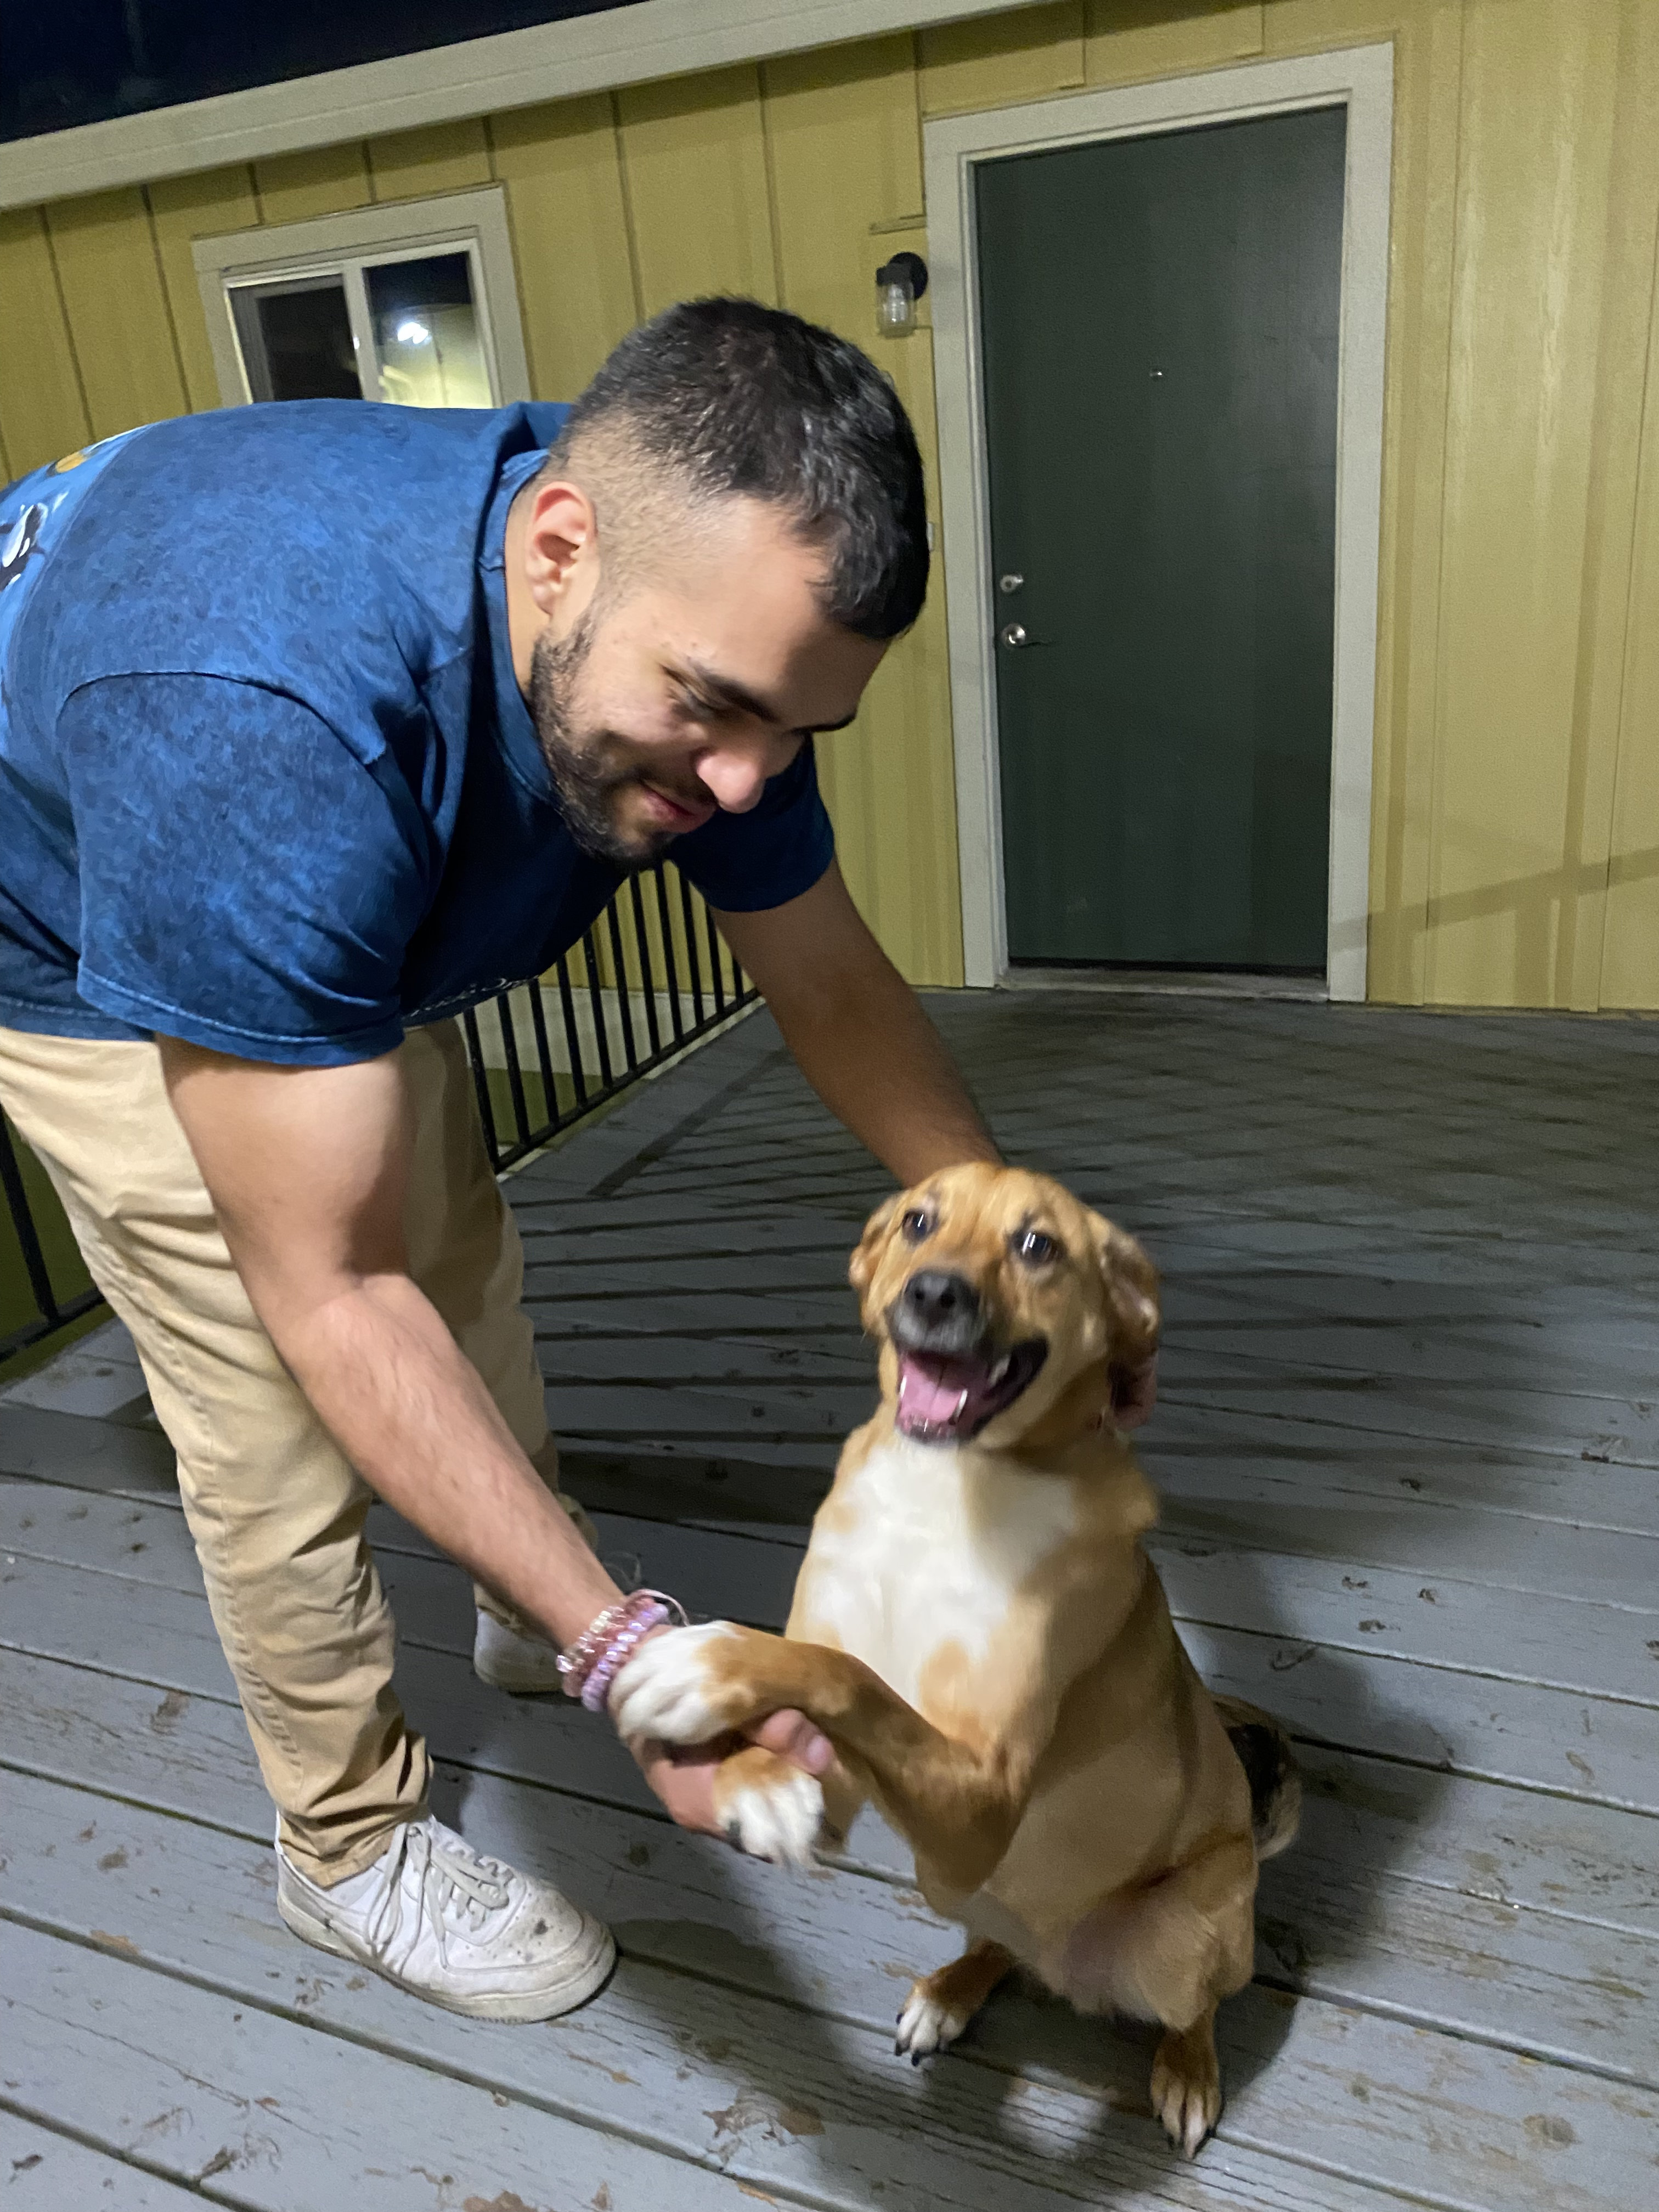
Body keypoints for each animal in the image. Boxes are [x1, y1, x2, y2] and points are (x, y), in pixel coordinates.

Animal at [610, 1167, 1300, 2150]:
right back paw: (950, 1992)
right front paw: (758, 1778)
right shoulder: (856, 1783)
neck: (940, 1489)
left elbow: (849, 1678)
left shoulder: (987, 1794)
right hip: (957, 1891)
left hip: (1177, 1929)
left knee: (1196, 2008)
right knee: (997, 1945)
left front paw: (703, 1668)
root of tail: (1067, 1969)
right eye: (917, 1222)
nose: (934, 1293)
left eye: (1037, 1245)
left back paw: (1188, 2074)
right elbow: (822, 1674)